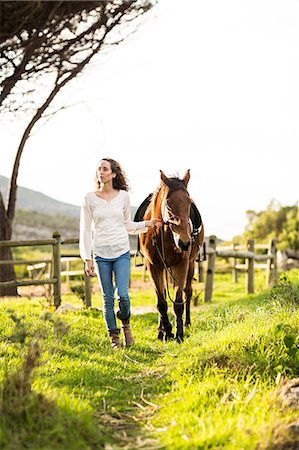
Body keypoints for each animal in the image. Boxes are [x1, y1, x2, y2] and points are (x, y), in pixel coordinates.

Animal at [137, 169, 205, 342]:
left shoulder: (181, 265)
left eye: (189, 202)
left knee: (188, 291)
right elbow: (161, 303)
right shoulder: (153, 266)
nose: (184, 242)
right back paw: (161, 330)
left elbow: (178, 302)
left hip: (191, 265)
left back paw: (187, 323)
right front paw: (166, 331)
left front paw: (178, 334)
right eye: (168, 203)